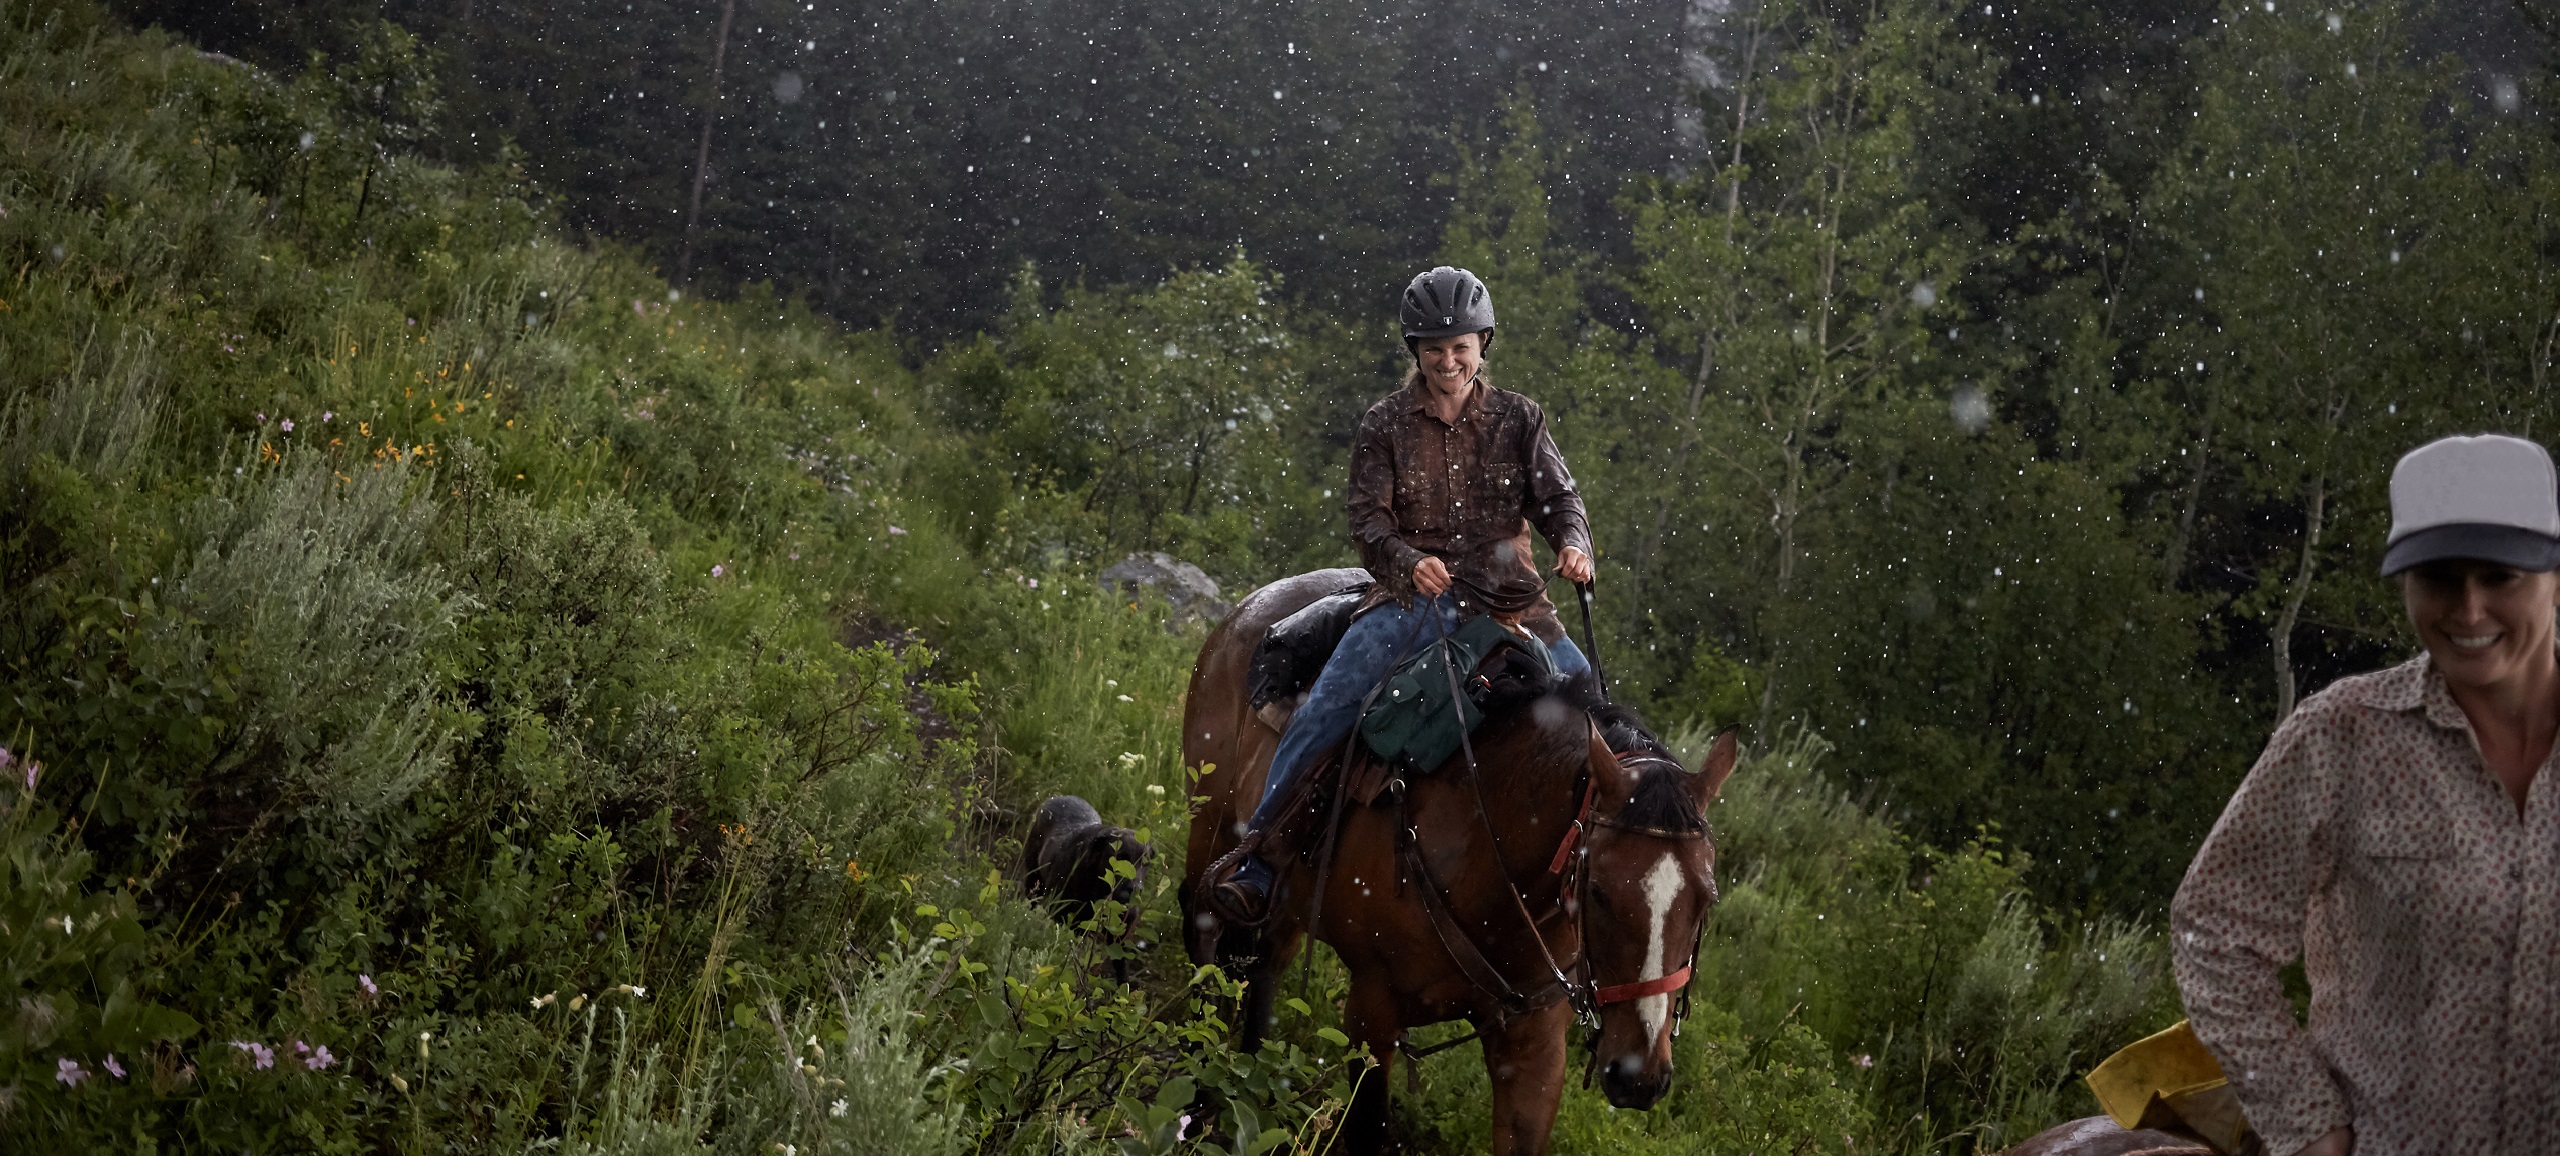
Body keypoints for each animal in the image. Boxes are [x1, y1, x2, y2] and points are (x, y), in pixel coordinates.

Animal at [1177, 570, 1740, 1156]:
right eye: (1599, 891)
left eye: (1706, 900)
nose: (1638, 1077)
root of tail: (1247, 609)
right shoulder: (1372, 1013)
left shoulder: (1536, 1048)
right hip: (1210, 820)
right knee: (1203, 929)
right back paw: (1198, 1086)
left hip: (1288, 898)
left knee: (1260, 966)